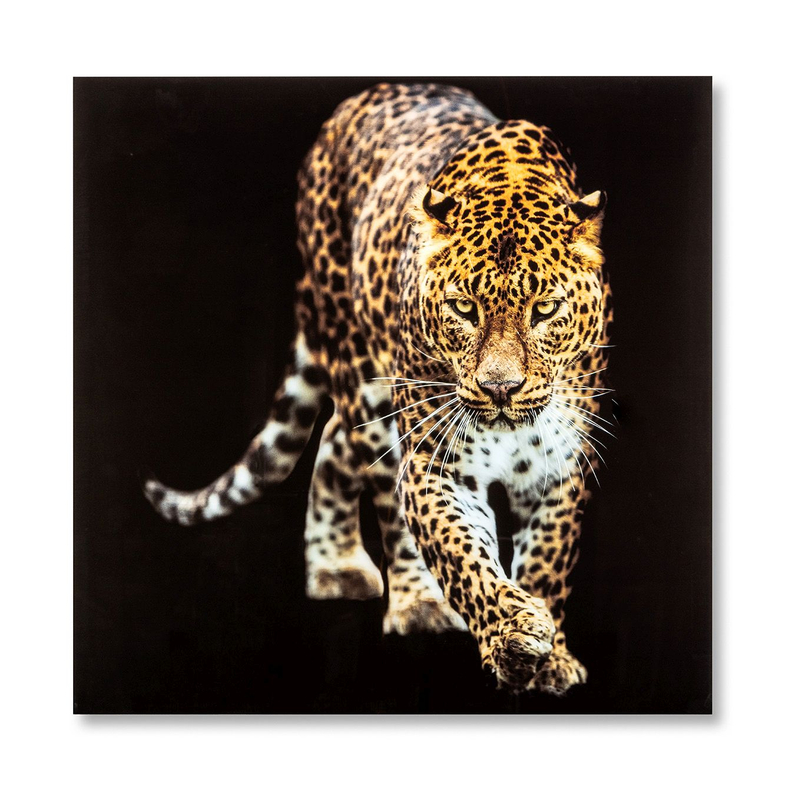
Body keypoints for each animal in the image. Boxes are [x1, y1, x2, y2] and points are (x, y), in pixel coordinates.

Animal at [144, 82, 613, 695]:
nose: (500, 388)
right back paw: (414, 601)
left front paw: (550, 655)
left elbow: (548, 561)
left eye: (545, 310)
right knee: (381, 489)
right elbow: (461, 553)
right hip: (364, 374)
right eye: (464, 308)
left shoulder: (561, 467)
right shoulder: (437, 465)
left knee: (334, 439)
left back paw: (335, 566)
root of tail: (357, 100)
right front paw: (512, 633)